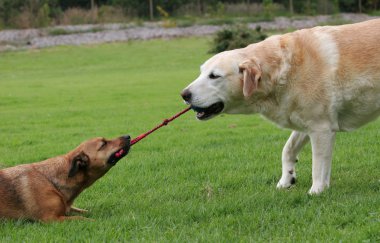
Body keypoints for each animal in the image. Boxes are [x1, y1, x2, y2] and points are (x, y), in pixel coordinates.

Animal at [0, 136, 131, 221]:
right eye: (103, 144)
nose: (128, 136)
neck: (51, 180)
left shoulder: (67, 209)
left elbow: (86, 212)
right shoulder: (51, 219)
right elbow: (83, 219)